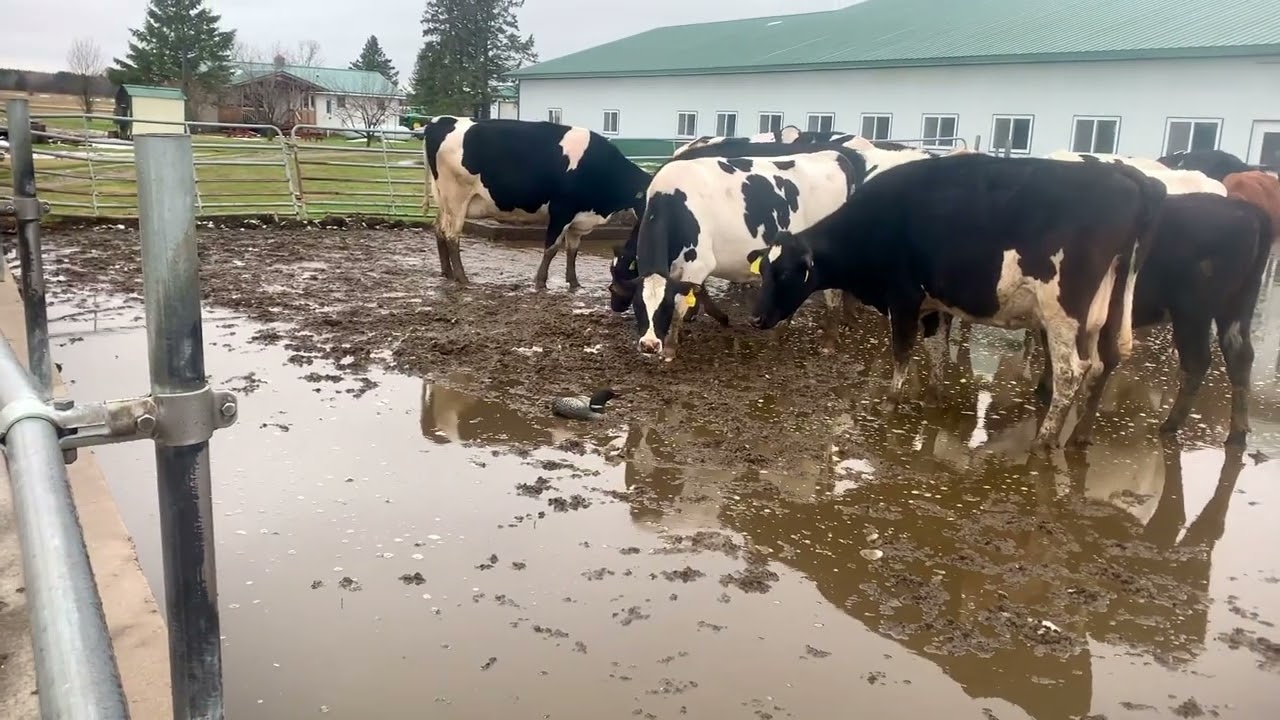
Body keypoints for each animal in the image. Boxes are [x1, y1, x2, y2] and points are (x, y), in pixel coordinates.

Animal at [422, 116, 650, 288]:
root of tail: (443, 121)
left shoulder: (579, 219)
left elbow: (572, 251)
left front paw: (574, 283)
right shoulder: (561, 211)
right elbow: (551, 248)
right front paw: (540, 282)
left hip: (443, 199)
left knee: (439, 229)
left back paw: (447, 272)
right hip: (456, 198)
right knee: (452, 236)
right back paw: (462, 277)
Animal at [745, 153, 1166, 451]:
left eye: (785, 274)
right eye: (762, 270)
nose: (757, 318)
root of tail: (1133, 179)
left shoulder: (904, 297)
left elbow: (902, 350)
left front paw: (891, 401)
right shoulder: (936, 304)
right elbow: (935, 349)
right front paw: (934, 397)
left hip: (1062, 314)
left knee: (1071, 372)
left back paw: (1044, 439)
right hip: (1106, 313)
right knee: (1104, 363)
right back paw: (1080, 434)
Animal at [1026, 193, 1271, 446]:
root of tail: (1249, 211)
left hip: (1193, 313)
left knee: (1198, 362)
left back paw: (1170, 426)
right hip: (1236, 309)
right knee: (1240, 357)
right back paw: (1237, 434)